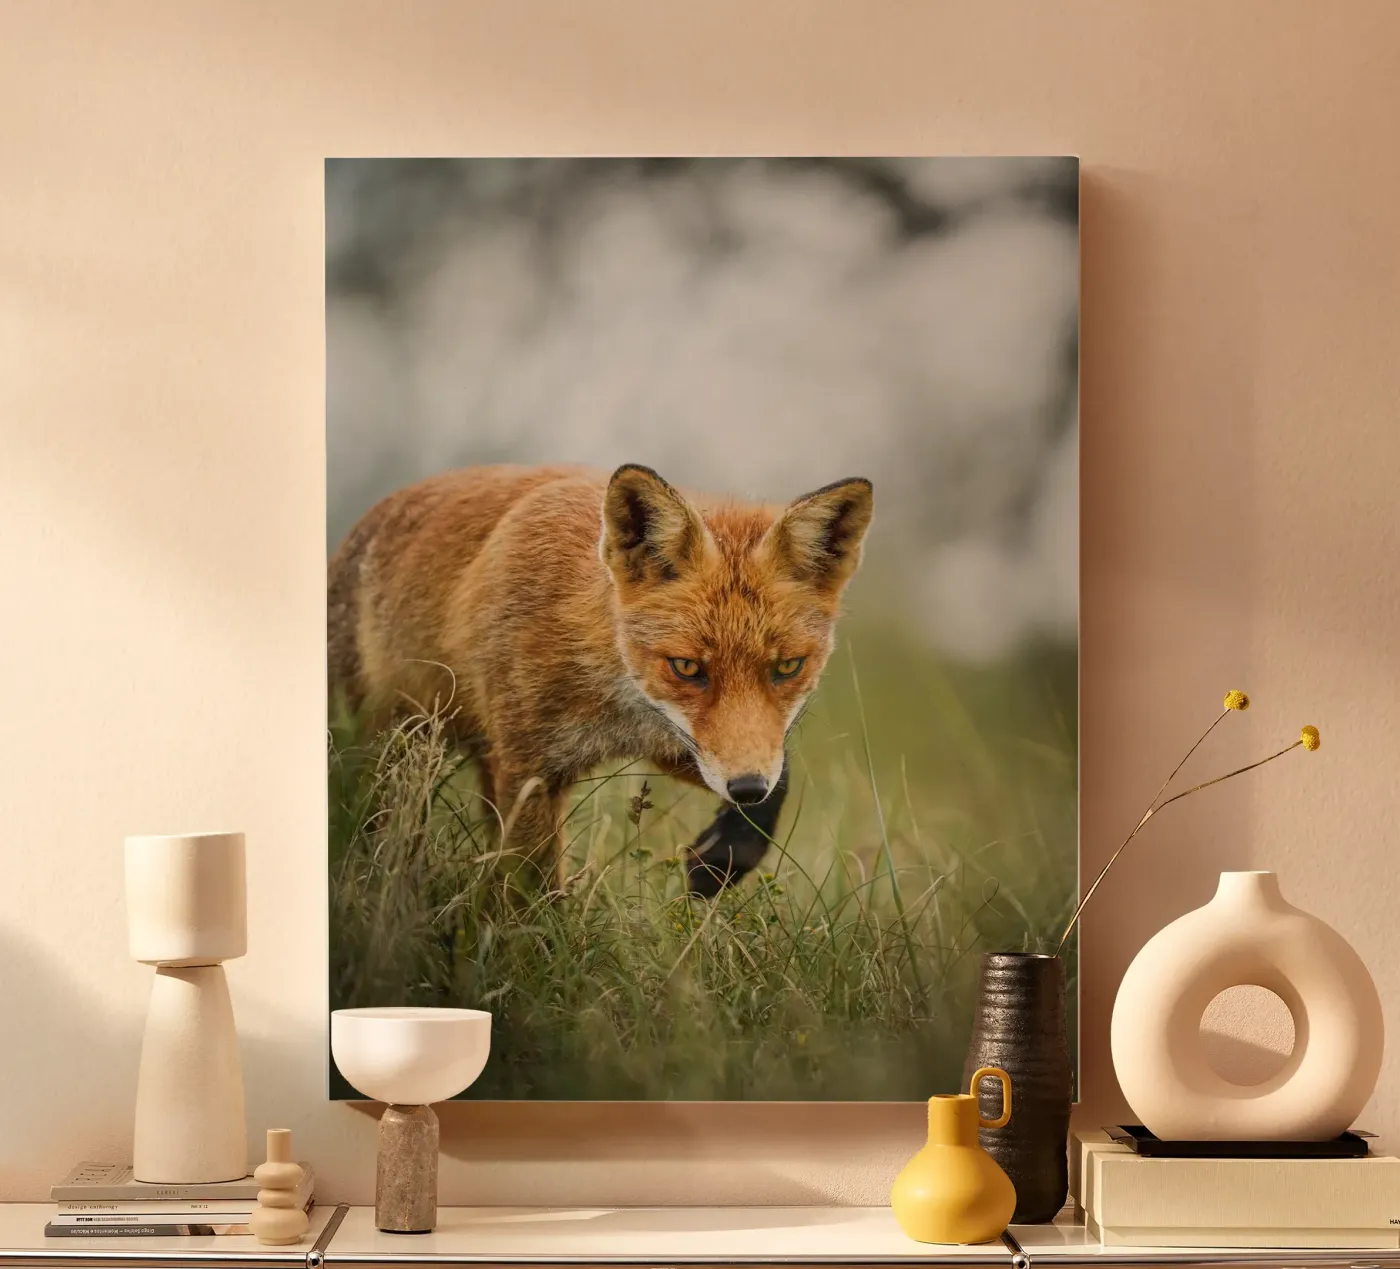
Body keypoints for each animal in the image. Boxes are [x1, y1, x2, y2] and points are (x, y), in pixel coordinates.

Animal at [327, 463, 873, 896]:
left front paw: (717, 863)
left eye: (787, 667)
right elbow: (531, 888)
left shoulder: (678, 743)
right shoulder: (530, 769)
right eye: (687, 667)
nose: (745, 789)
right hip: (386, 751)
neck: (611, 696)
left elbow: (780, 782)